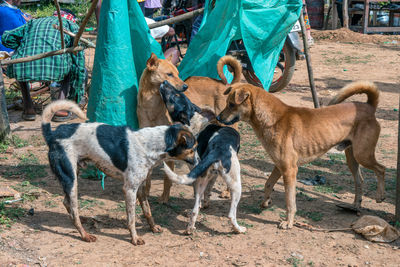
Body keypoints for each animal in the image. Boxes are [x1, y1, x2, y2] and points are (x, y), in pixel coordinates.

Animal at [41, 100, 197, 245]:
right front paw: (135, 238)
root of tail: (52, 135)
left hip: (73, 174)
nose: (199, 162)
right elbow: (131, 218)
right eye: (193, 148)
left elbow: (147, 211)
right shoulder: (129, 189)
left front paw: (153, 228)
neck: (153, 145)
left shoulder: (141, 187)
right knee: (73, 209)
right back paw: (85, 235)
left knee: (66, 203)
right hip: (71, 179)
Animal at [138, 54, 242, 205]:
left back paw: (227, 192)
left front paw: (164, 198)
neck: (152, 107)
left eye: (177, 73)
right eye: (169, 74)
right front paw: (144, 195)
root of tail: (227, 85)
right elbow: (148, 178)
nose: (185, 86)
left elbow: (167, 179)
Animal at [159, 81, 245, 234]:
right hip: (236, 184)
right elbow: (210, 190)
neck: (194, 122)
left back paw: (190, 228)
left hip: (202, 179)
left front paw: (204, 203)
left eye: (176, 95)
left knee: (194, 210)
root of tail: (216, 150)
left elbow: (204, 192)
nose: (164, 82)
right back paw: (238, 229)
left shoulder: (199, 170)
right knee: (231, 214)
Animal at [217, 82, 386, 230]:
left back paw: (380, 196)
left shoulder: (290, 170)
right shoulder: (279, 166)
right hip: (352, 158)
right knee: (360, 180)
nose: (218, 118)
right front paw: (265, 202)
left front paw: (288, 222)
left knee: (381, 169)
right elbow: (268, 184)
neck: (273, 119)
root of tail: (369, 106)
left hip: (363, 155)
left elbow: (290, 201)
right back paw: (355, 205)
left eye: (231, 104)